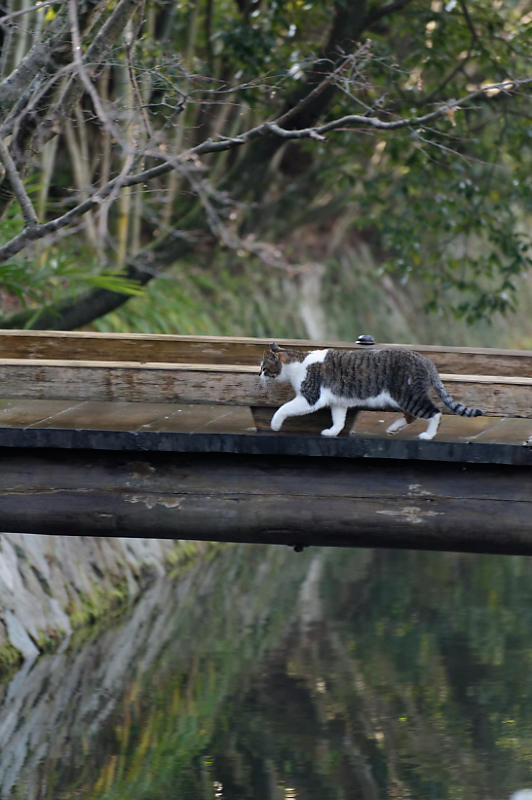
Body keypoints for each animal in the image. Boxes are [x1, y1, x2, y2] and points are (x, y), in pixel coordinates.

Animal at [260, 340, 484, 440]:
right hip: (402, 397)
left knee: (434, 412)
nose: (259, 376)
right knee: (411, 416)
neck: (297, 363)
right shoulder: (338, 400)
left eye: (264, 368)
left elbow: (284, 408)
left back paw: (428, 435)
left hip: (407, 395)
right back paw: (393, 428)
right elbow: (339, 420)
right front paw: (332, 432)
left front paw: (275, 425)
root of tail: (425, 360)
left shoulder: (310, 397)